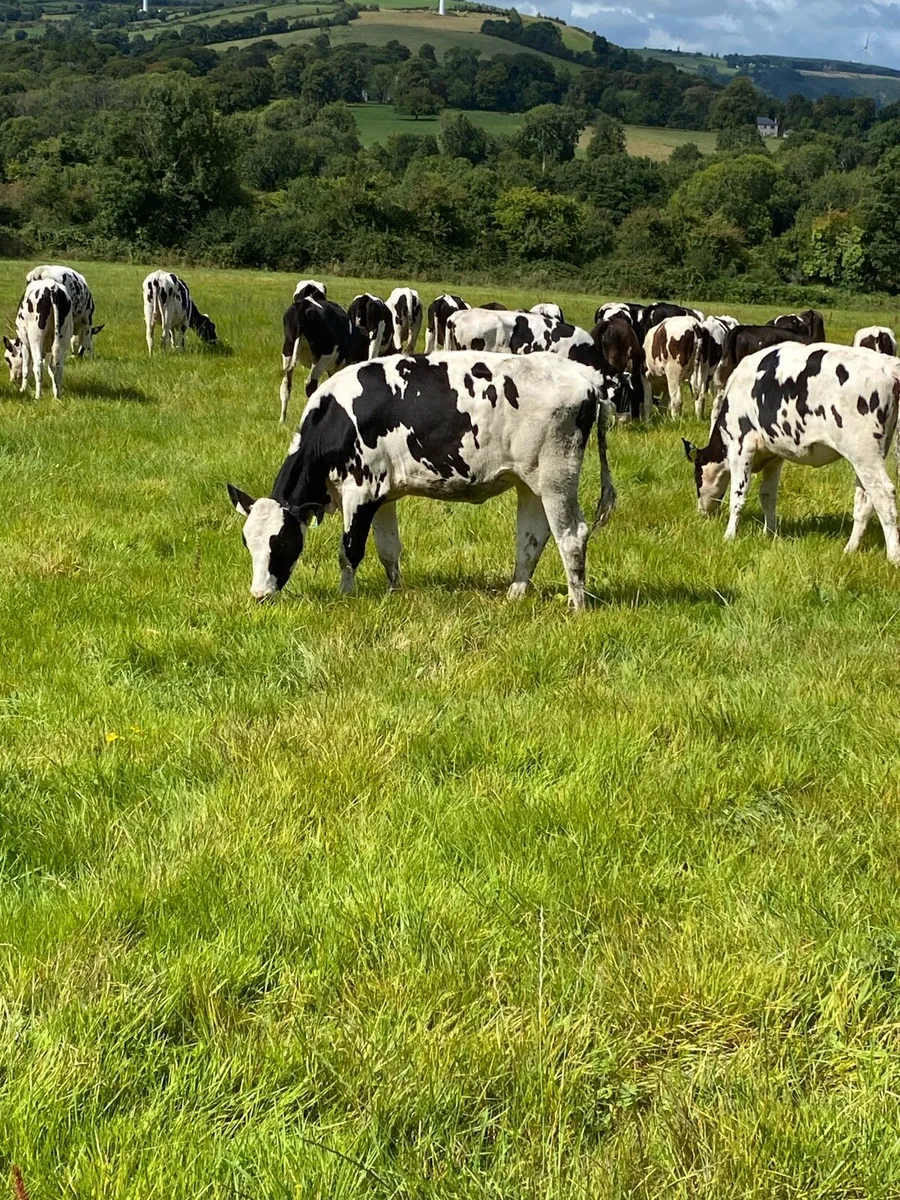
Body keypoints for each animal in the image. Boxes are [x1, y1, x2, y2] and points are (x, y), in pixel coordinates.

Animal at [227, 352, 616, 609]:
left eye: (281, 542)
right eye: (248, 543)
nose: (259, 594)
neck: (337, 417)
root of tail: (586, 377)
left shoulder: (361, 490)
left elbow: (349, 551)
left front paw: (346, 597)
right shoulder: (383, 495)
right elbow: (388, 549)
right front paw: (394, 592)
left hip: (556, 477)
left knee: (571, 536)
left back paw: (577, 606)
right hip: (530, 482)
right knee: (532, 538)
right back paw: (515, 595)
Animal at [280, 296, 368, 424]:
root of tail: (304, 304)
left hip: (288, 349)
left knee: (286, 385)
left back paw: (282, 420)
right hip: (322, 357)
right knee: (310, 386)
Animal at [682, 343, 900, 563]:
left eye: (697, 476)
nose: (702, 512)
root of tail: (887, 365)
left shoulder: (741, 447)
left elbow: (738, 496)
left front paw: (729, 536)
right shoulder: (774, 456)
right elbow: (768, 495)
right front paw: (769, 533)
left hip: (863, 451)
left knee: (883, 495)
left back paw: (893, 557)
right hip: (869, 455)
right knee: (864, 501)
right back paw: (850, 549)